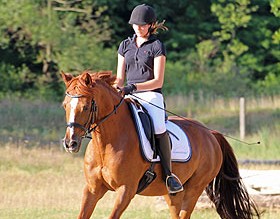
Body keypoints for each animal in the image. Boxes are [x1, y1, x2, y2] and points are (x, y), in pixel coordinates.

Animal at [61, 70, 260, 219]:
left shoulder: (126, 191)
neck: (106, 144)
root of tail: (210, 133)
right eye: (65, 105)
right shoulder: (92, 190)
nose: (70, 143)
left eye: (86, 107)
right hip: (172, 194)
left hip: (194, 189)